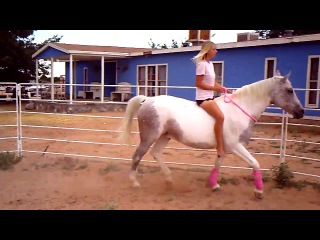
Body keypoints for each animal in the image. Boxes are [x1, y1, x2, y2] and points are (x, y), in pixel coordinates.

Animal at [118, 71, 304, 199]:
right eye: (289, 90)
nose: (301, 112)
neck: (240, 110)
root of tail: (147, 100)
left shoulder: (225, 148)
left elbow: (218, 164)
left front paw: (214, 185)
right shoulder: (236, 146)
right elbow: (255, 163)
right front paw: (258, 191)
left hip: (165, 136)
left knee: (155, 153)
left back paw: (169, 180)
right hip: (149, 136)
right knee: (137, 156)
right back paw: (135, 183)